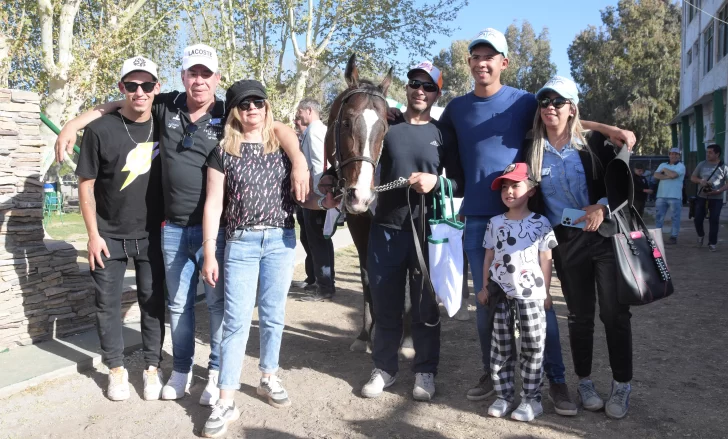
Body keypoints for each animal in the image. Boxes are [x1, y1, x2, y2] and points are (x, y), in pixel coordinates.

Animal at [322, 53, 412, 360]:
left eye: (384, 128)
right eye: (347, 123)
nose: (360, 196)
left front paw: (406, 339)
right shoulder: (360, 225)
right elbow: (367, 276)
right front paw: (365, 335)